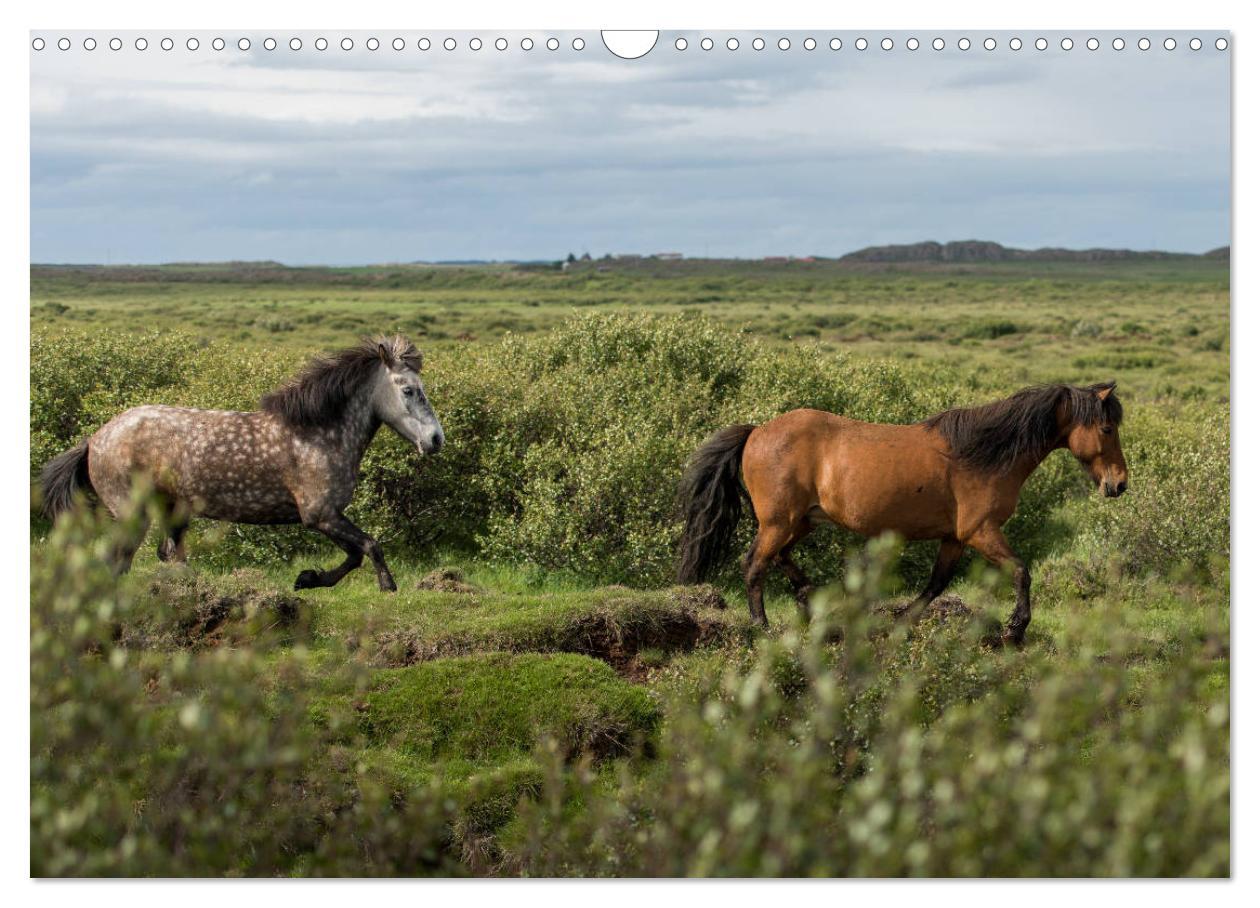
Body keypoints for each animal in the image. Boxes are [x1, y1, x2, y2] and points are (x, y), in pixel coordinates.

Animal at [40, 337, 443, 591]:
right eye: (409, 390)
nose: (436, 439)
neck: (319, 433)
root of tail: (95, 439)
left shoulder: (327, 517)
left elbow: (355, 554)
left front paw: (307, 579)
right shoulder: (320, 515)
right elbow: (370, 546)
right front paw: (387, 586)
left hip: (171, 510)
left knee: (167, 556)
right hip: (131, 513)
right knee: (117, 561)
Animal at [680, 382, 1134, 644]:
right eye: (1107, 429)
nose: (1119, 484)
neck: (983, 455)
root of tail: (757, 431)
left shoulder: (954, 538)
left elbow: (936, 584)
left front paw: (900, 622)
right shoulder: (981, 531)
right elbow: (1021, 571)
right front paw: (1015, 627)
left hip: (801, 521)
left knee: (779, 558)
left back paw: (809, 600)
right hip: (780, 521)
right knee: (755, 564)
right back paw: (761, 627)